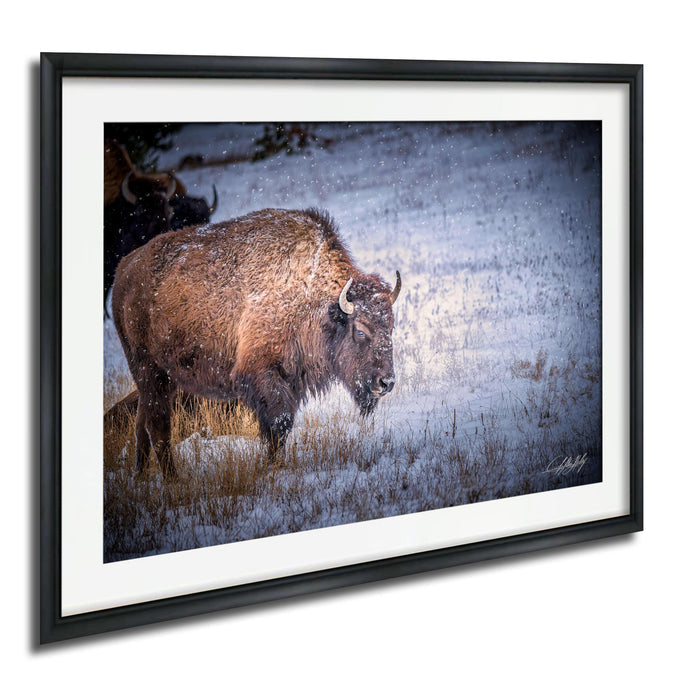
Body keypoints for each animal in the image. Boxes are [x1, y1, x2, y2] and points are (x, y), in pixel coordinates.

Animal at [111, 208, 401, 479]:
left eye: (390, 327)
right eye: (360, 332)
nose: (386, 383)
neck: (309, 294)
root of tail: (123, 271)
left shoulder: (292, 381)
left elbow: (282, 426)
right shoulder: (264, 375)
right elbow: (278, 424)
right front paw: (274, 469)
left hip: (162, 380)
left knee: (142, 423)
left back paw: (141, 477)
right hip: (149, 371)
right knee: (158, 425)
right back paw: (173, 480)